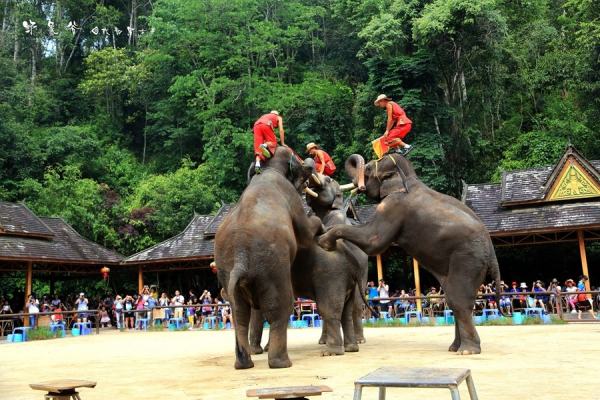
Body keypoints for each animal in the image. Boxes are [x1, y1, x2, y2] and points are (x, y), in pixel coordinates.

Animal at [214, 147, 324, 368]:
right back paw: (281, 363)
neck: (268, 167)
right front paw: (320, 225)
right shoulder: (292, 198)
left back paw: (244, 364)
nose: (310, 164)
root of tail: (240, 255)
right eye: (298, 163)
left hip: (226, 270)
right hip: (273, 266)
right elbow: (306, 233)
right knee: (280, 307)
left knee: (240, 314)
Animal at [318, 154, 502, 356]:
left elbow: (374, 241)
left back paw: (466, 351)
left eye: (367, 169)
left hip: (467, 259)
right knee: (454, 300)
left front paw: (324, 241)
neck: (408, 178)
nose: (357, 187)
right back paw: (454, 348)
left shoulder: (393, 206)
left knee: (459, 301)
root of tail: (491, 251)